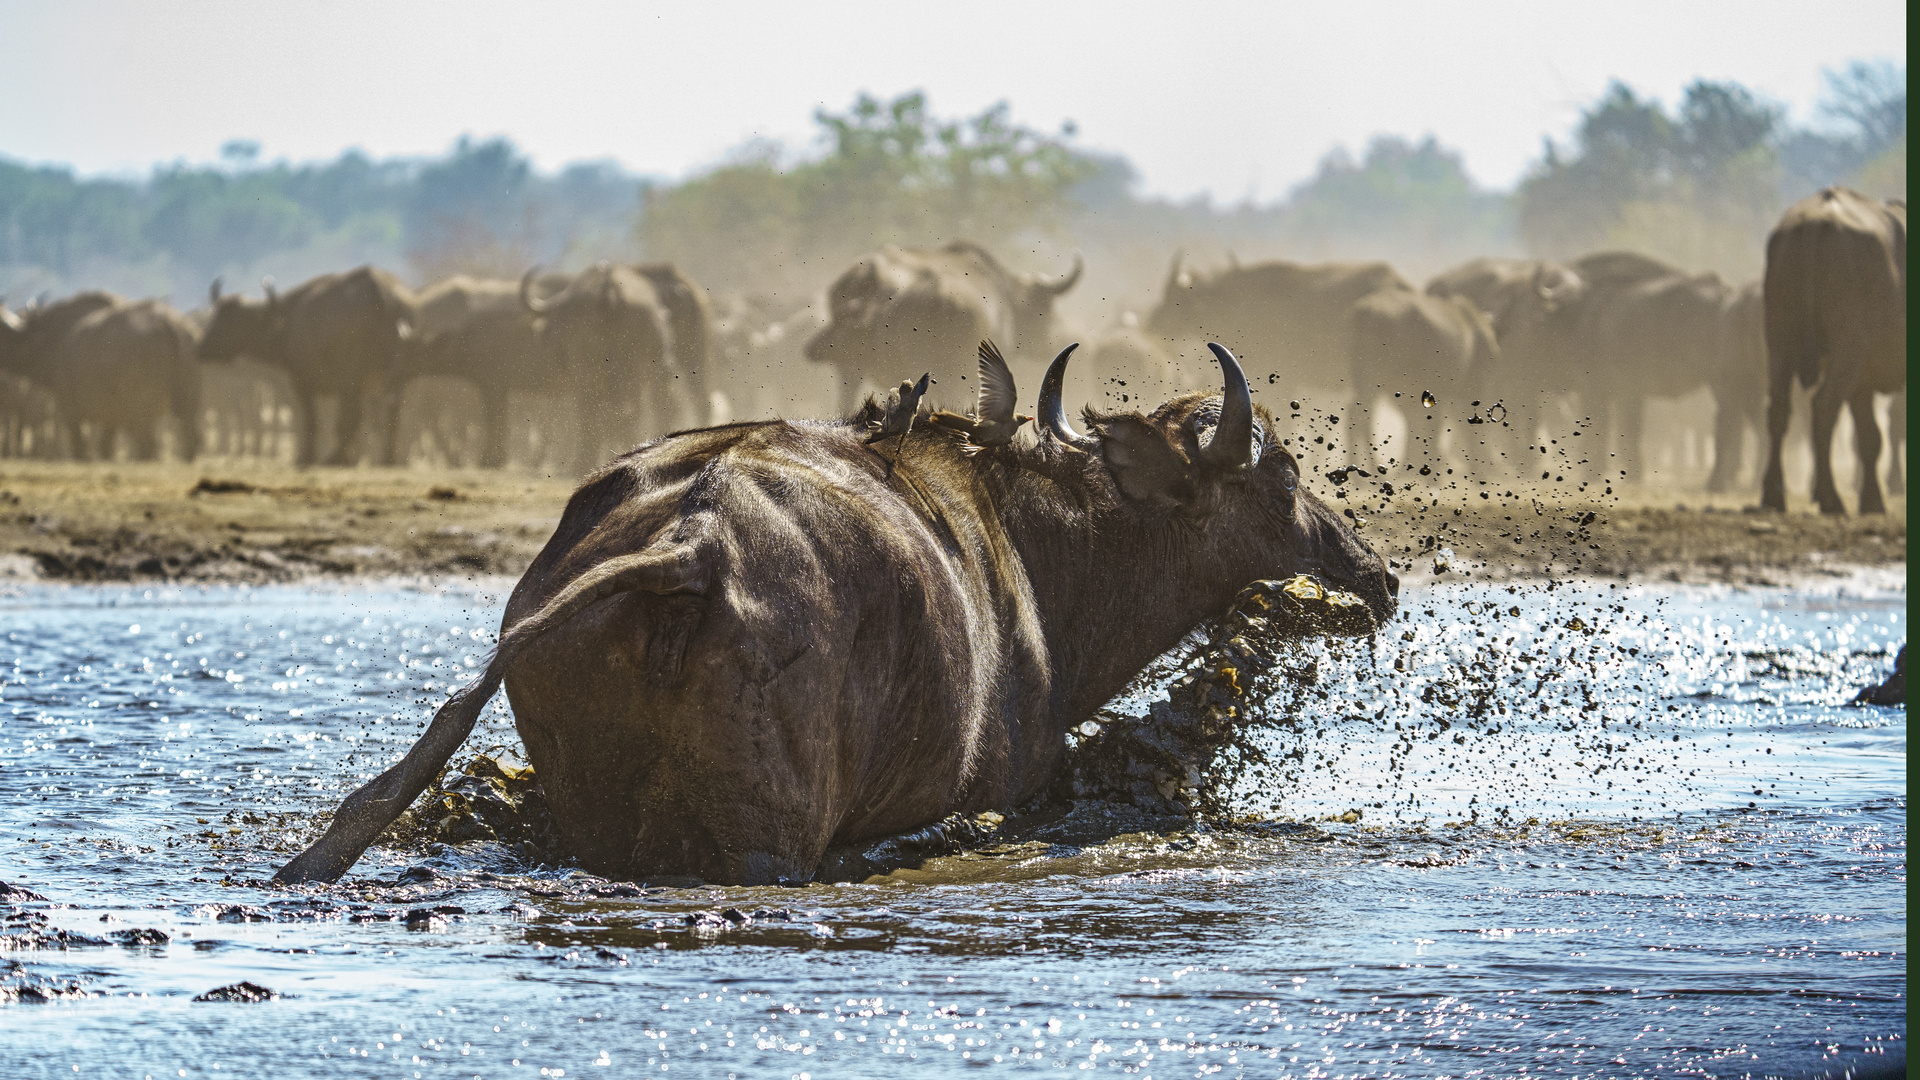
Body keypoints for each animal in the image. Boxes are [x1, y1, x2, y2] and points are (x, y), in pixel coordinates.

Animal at [196, 267, 418, 465]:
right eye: (217, 315)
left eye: (231, 319)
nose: (201, 347)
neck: (285, 319)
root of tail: (382, 294)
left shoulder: (302, 383)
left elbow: (311, 419)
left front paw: (306, 456)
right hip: (394, 375)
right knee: (393, 409)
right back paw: (388, 458)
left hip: (353, 379)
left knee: (354, 415)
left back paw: (336, 457)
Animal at [278, 342, 1397, 883]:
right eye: (1287, 475)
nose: (1379, 575)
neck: (1028, 545)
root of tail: (693, 543)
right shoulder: (1016, 794)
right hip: (769, 847)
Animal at [1766, 186, 1904, 511]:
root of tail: (1816, 222)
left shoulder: (1863, 381)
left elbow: (1870, 438)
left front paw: (1872, 501)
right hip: (1849, 346)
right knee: (1824, 406)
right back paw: (1831, 498)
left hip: (1780, 336)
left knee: (1778, 408)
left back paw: (1774, 495)